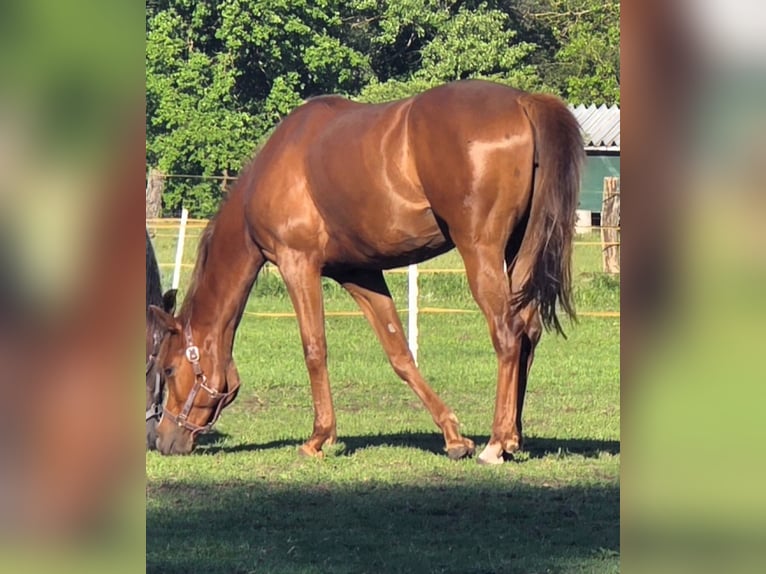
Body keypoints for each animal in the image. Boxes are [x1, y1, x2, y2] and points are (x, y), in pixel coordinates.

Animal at [149, 79, 583, 464]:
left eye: (168, 368)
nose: (161, 440)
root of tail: (523, 101)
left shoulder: (297, 263)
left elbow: (315, 349)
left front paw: (318, 438)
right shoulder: (360, 273)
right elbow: (399, 353)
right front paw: (453, 436)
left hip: (481, 251)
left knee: (507, 334)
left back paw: (496, 442)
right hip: (517, 252)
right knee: (528, 332)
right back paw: (514, 438)